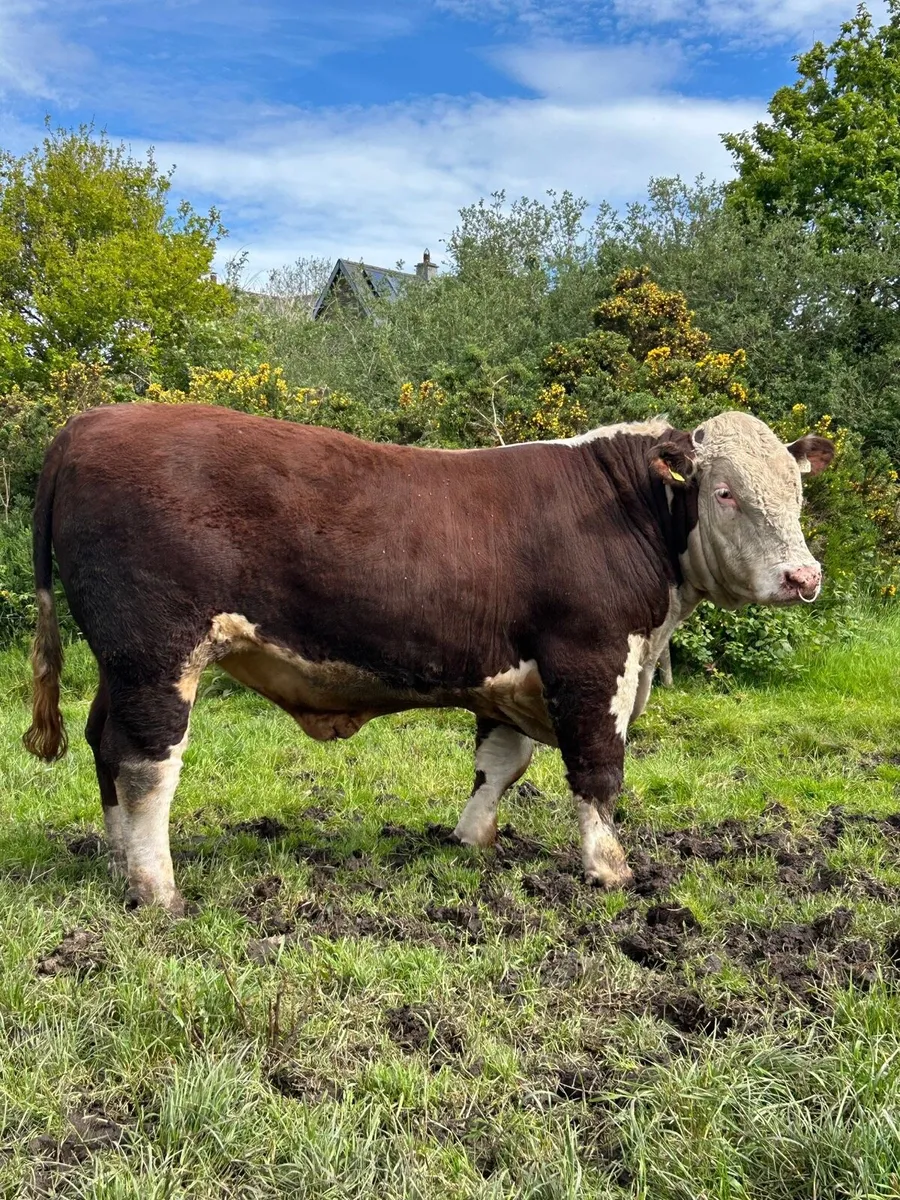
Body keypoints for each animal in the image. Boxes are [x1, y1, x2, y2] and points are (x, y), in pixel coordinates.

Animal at [22, 404, 834, 914]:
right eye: (724, 493)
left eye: (796, 494)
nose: (804, 576)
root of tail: (91, 422)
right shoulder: (591, 659)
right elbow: (598, 771)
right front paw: (610, 869)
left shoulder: (510, 672)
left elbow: (500, 764)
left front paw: (471, 841)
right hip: (157, 652)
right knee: (145, 762)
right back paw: (158, 889)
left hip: (120, 662)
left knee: (103, 743)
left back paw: (117, 862)